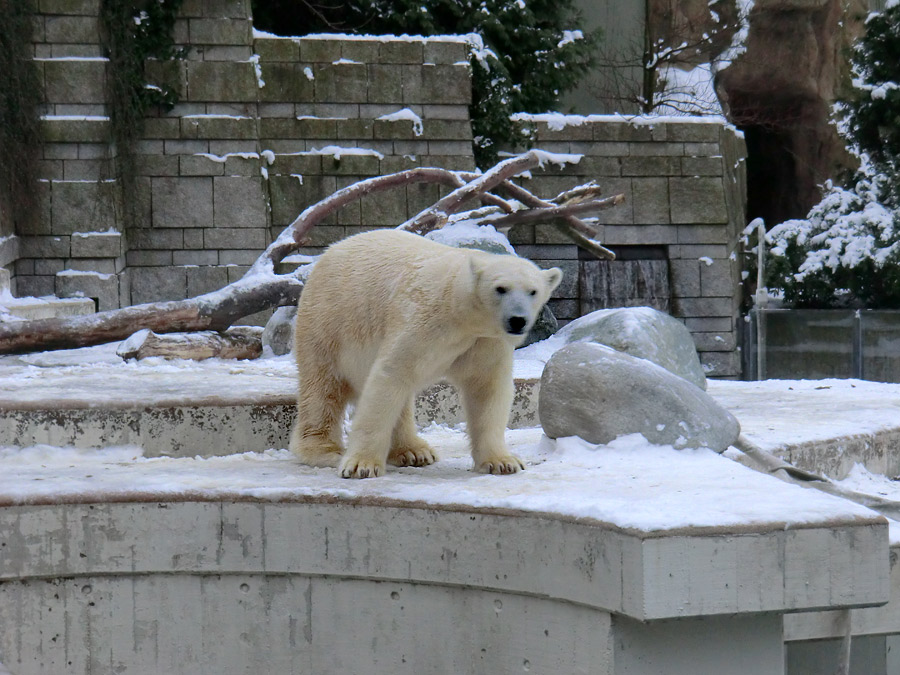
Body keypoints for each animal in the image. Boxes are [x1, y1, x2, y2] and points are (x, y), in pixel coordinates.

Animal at [292, 230, 564, 478]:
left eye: (533, 291)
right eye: (501, 288)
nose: (518, 320)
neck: (460, 312)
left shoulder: (485, 341)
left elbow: (487, 388)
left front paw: (503, 462)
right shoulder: (423, 322)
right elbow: (389, 377)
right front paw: (361, 465)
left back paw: (413, 451)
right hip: (328, 322)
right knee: (323, 387)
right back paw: (325, 450)